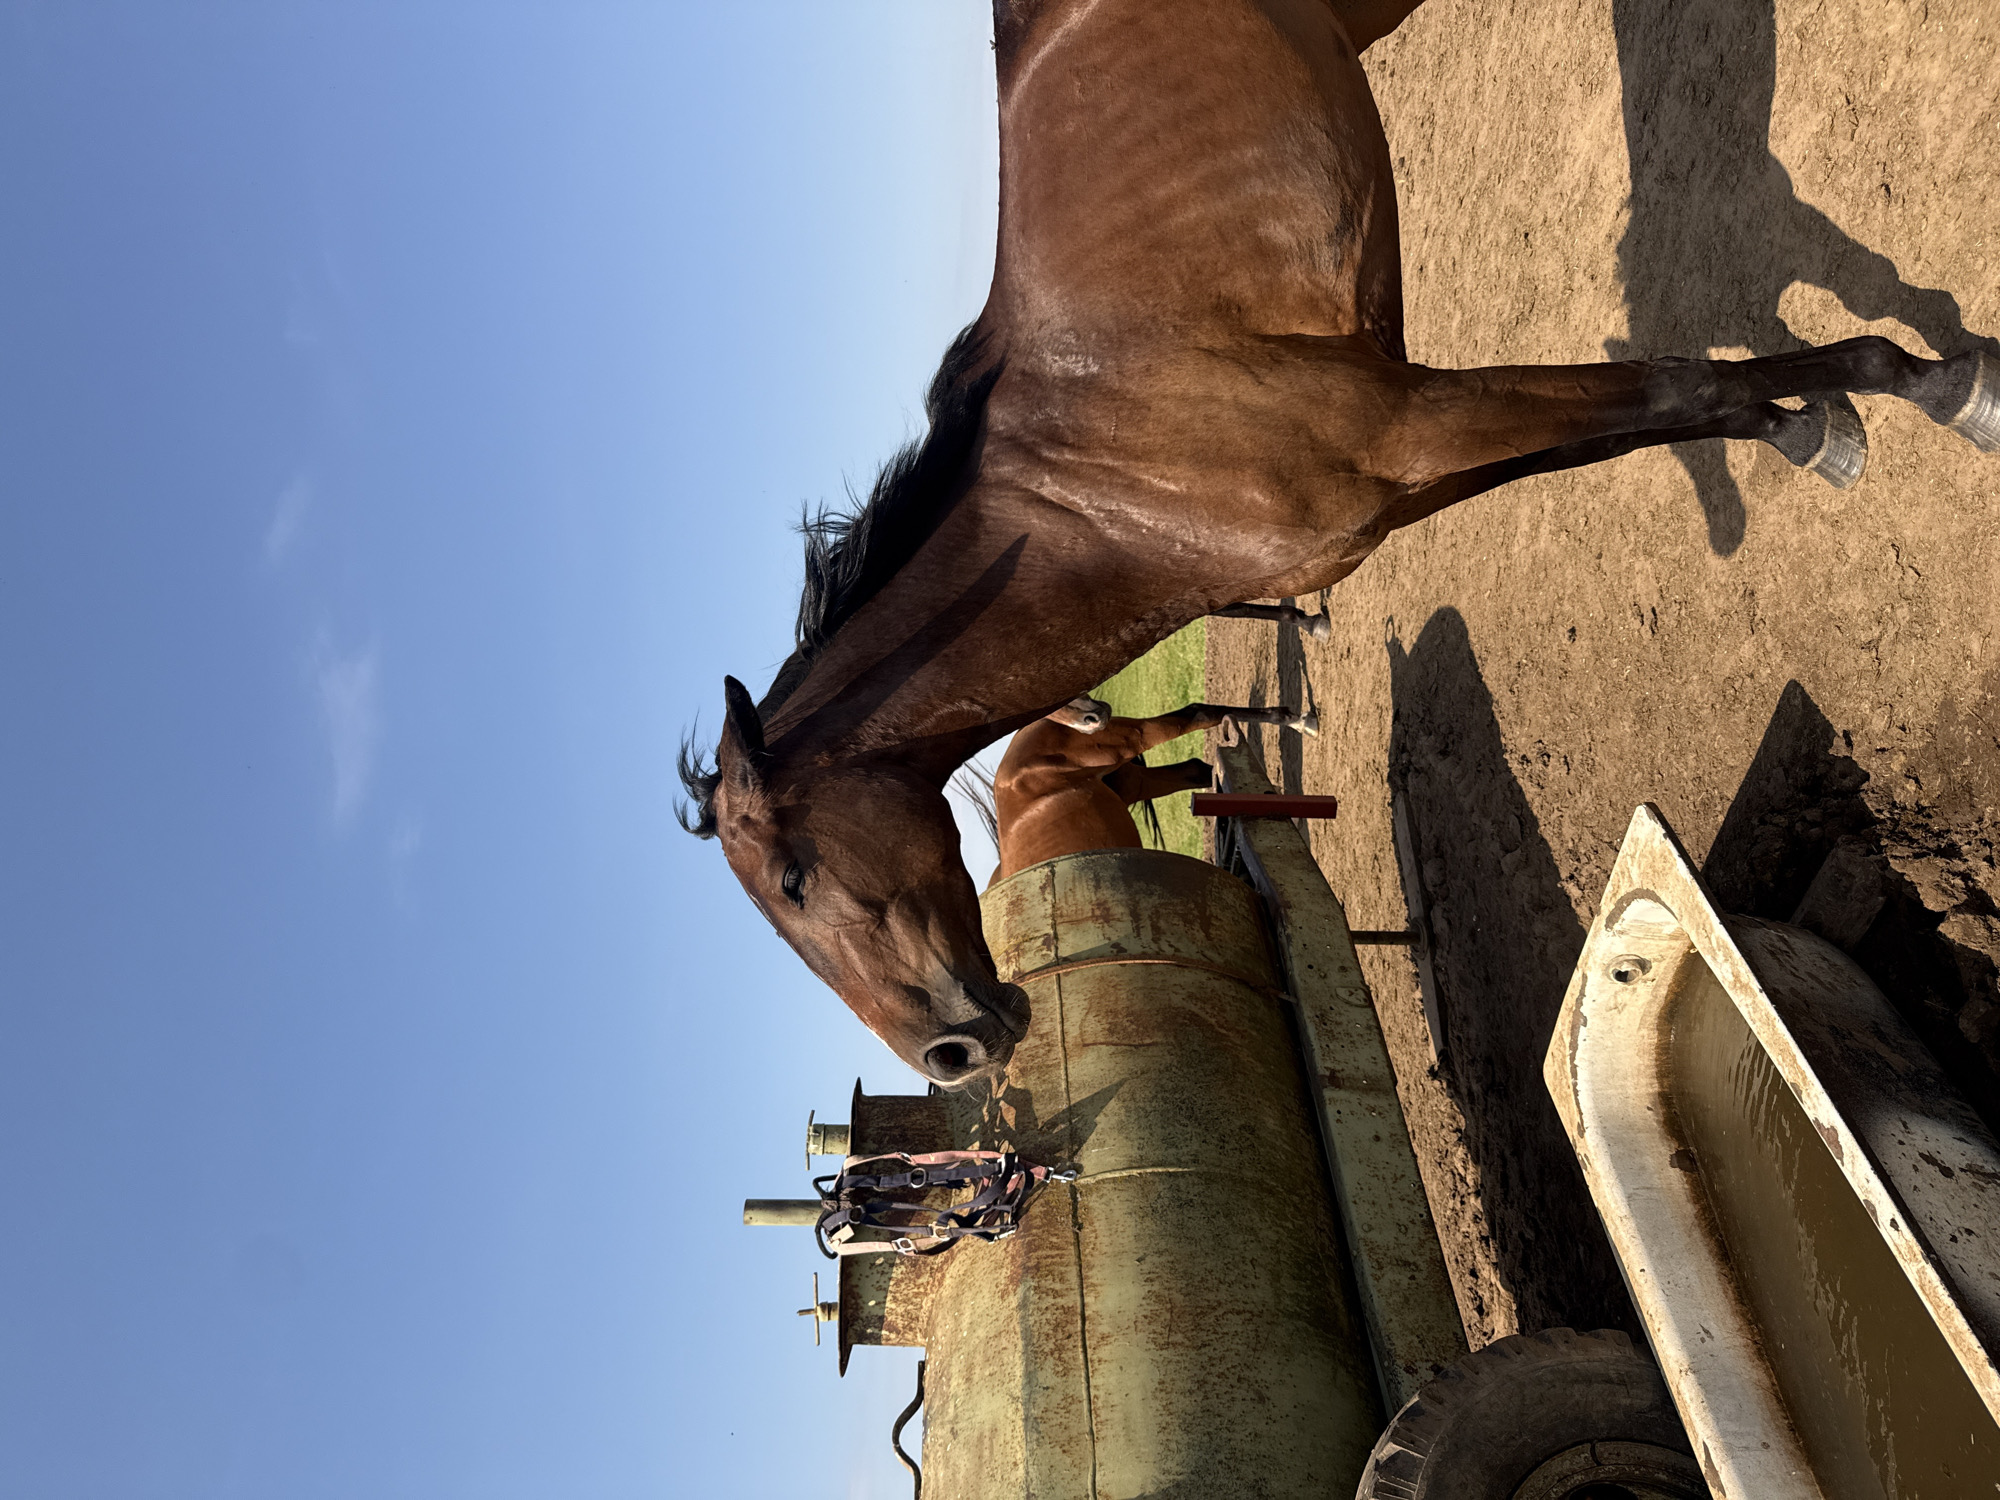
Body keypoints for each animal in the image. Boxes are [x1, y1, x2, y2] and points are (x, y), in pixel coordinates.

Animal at [680, 0, 2000, 1088]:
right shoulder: (1408, 475)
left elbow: (1675, 386)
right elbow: (1666, 412)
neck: (1097, 487)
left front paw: (1932, 384)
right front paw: (1813, 426)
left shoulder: (1410, 421)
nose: (949, 1053)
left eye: (791, 881)